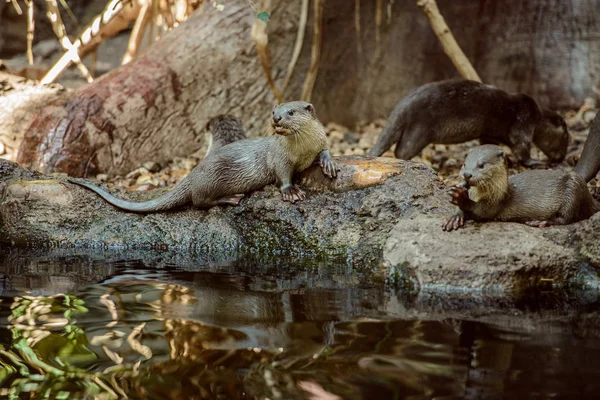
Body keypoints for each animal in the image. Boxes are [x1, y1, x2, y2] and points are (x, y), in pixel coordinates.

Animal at [70, 101, 338, 212]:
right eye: (274, 111)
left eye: (291, 112)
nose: (277, 118)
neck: (301, 149)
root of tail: (191, 175)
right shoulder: (279, 156)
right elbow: (282, 175)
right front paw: (291, 191)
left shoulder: (319, 141)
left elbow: (325, 149)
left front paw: (329, 163)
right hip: (213, 176)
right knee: (199, 201)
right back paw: (230, 199)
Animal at [440, 144, 600, 231]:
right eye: (464, 164)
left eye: (481, 165)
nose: (467, 174)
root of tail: (591, 199)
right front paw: (455, 217)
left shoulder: (495, 203)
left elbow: (481, 211)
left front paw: (461, 198)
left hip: (574, 188)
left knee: (566, 218)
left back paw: (541, 222)